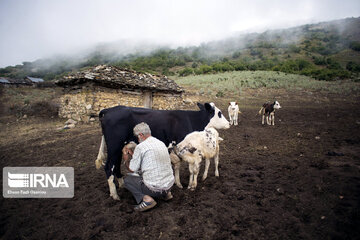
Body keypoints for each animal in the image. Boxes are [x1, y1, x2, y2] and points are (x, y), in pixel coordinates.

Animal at [95, 102, 229, 200]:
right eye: (219, 113)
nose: (229, 123)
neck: (191, 119)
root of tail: (108, 110)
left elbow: (180, 166)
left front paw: (180, 183)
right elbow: (183, 166)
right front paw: (185, 185)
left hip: (118, 150)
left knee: (116, 166)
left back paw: (122, 185)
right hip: (114, 147)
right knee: (109, 167)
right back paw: (115, 195)